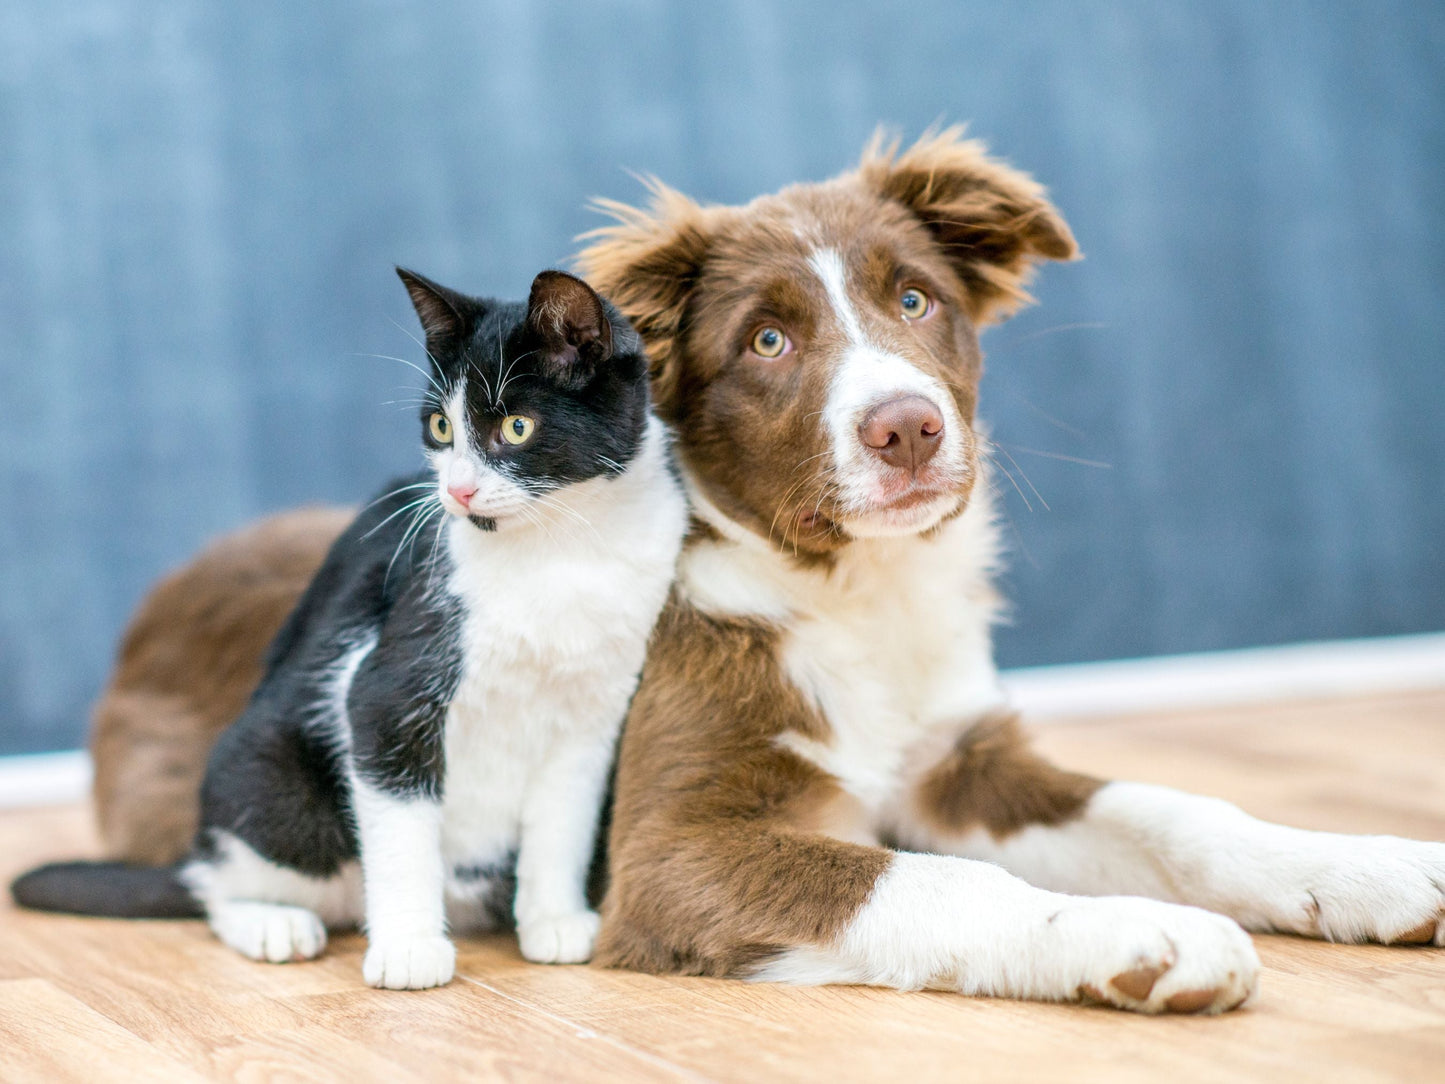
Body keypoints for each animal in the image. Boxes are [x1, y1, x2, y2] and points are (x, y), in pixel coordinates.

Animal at [11, 267, 687, 988]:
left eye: (517, 426)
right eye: (441, 427)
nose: (458, 492)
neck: (560, 550)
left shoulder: (594, 715)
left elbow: (563, 822)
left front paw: (554, 920)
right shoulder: (387, 688)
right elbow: (400, 822)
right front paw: (410, 948)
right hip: (272, 783)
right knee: (216, 882)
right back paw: (271, 922)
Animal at [569, 129, 1445, 1017]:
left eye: (913, 300)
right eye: (766, 341)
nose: (906, 428)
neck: (862, 594)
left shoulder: (958, 766)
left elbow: (1163, 809)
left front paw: (1360, 865)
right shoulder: (668, 850)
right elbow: (937, 882)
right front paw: (1137, 930)